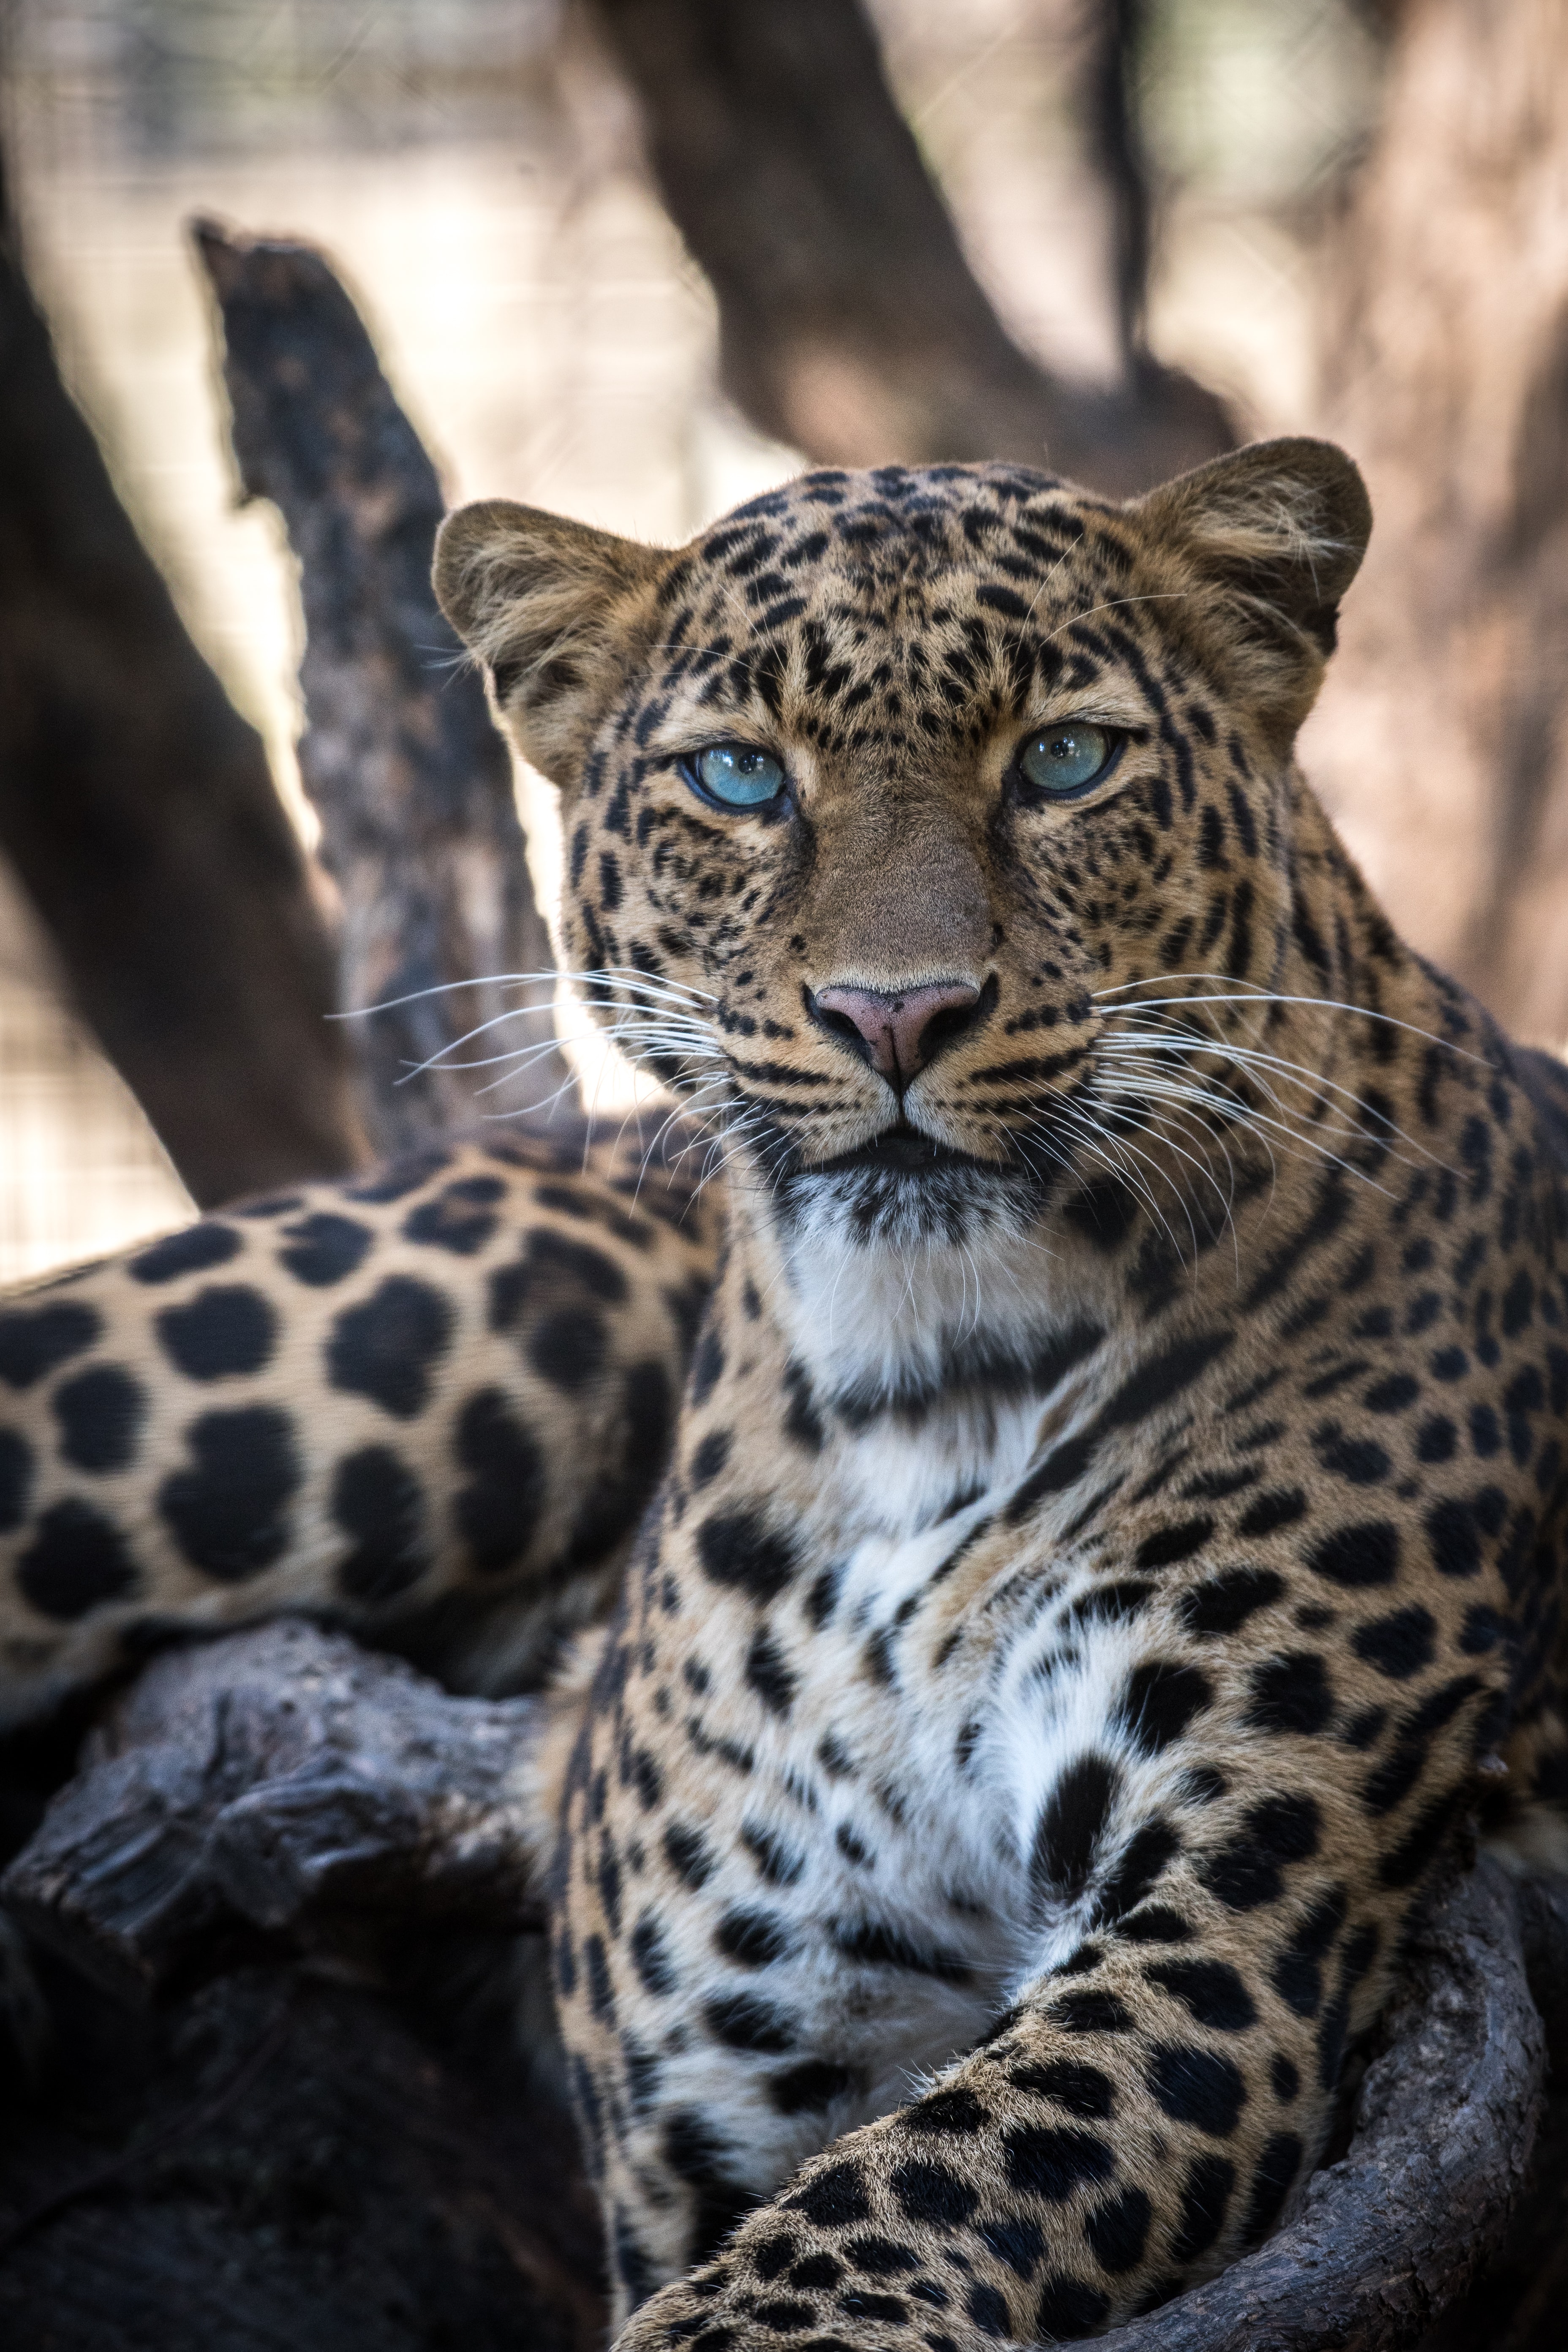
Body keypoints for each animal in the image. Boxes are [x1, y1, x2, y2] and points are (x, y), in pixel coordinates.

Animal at [3, 434, 1568, 2349]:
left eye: (1064, 759)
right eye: (740, 777)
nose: (895, 1015)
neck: (925, 1388)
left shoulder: (1231, 1928)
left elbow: (886, 2208)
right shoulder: (737, 2061)